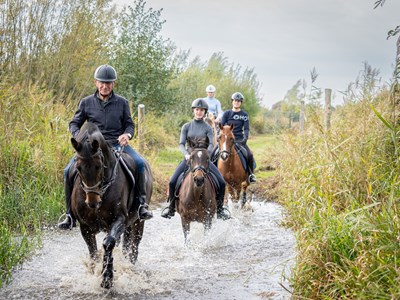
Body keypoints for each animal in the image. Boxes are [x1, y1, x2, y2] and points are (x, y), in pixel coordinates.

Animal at [68, 122, 152, 288]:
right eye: (78, 167)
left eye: (99, 166)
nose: (93, 202)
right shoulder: (85, 226)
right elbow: (93, 251)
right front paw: (95, 272)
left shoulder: (119, 220)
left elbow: (108, 243)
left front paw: (107, 277)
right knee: (126, 246)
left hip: (138, 222)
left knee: (134, 247)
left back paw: (129, 268)